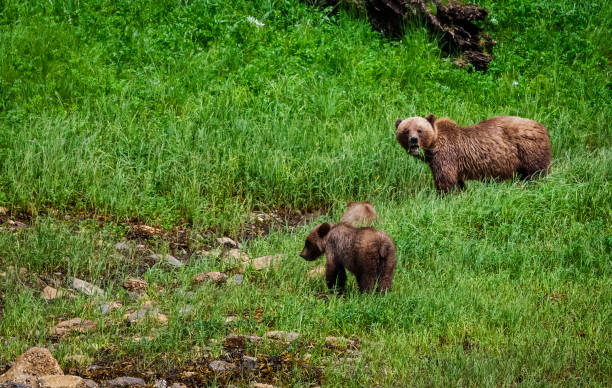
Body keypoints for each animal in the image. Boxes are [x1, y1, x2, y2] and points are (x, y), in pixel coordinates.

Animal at [394, 115, 552, 194]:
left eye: (419, 130)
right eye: (406, 130)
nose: (413, 140)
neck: (434, 145)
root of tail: (543, 127)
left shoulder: (446, 155)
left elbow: (445, 180)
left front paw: (444, 196)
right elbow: (457, 182)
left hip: (529, 150)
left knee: (536, 174)